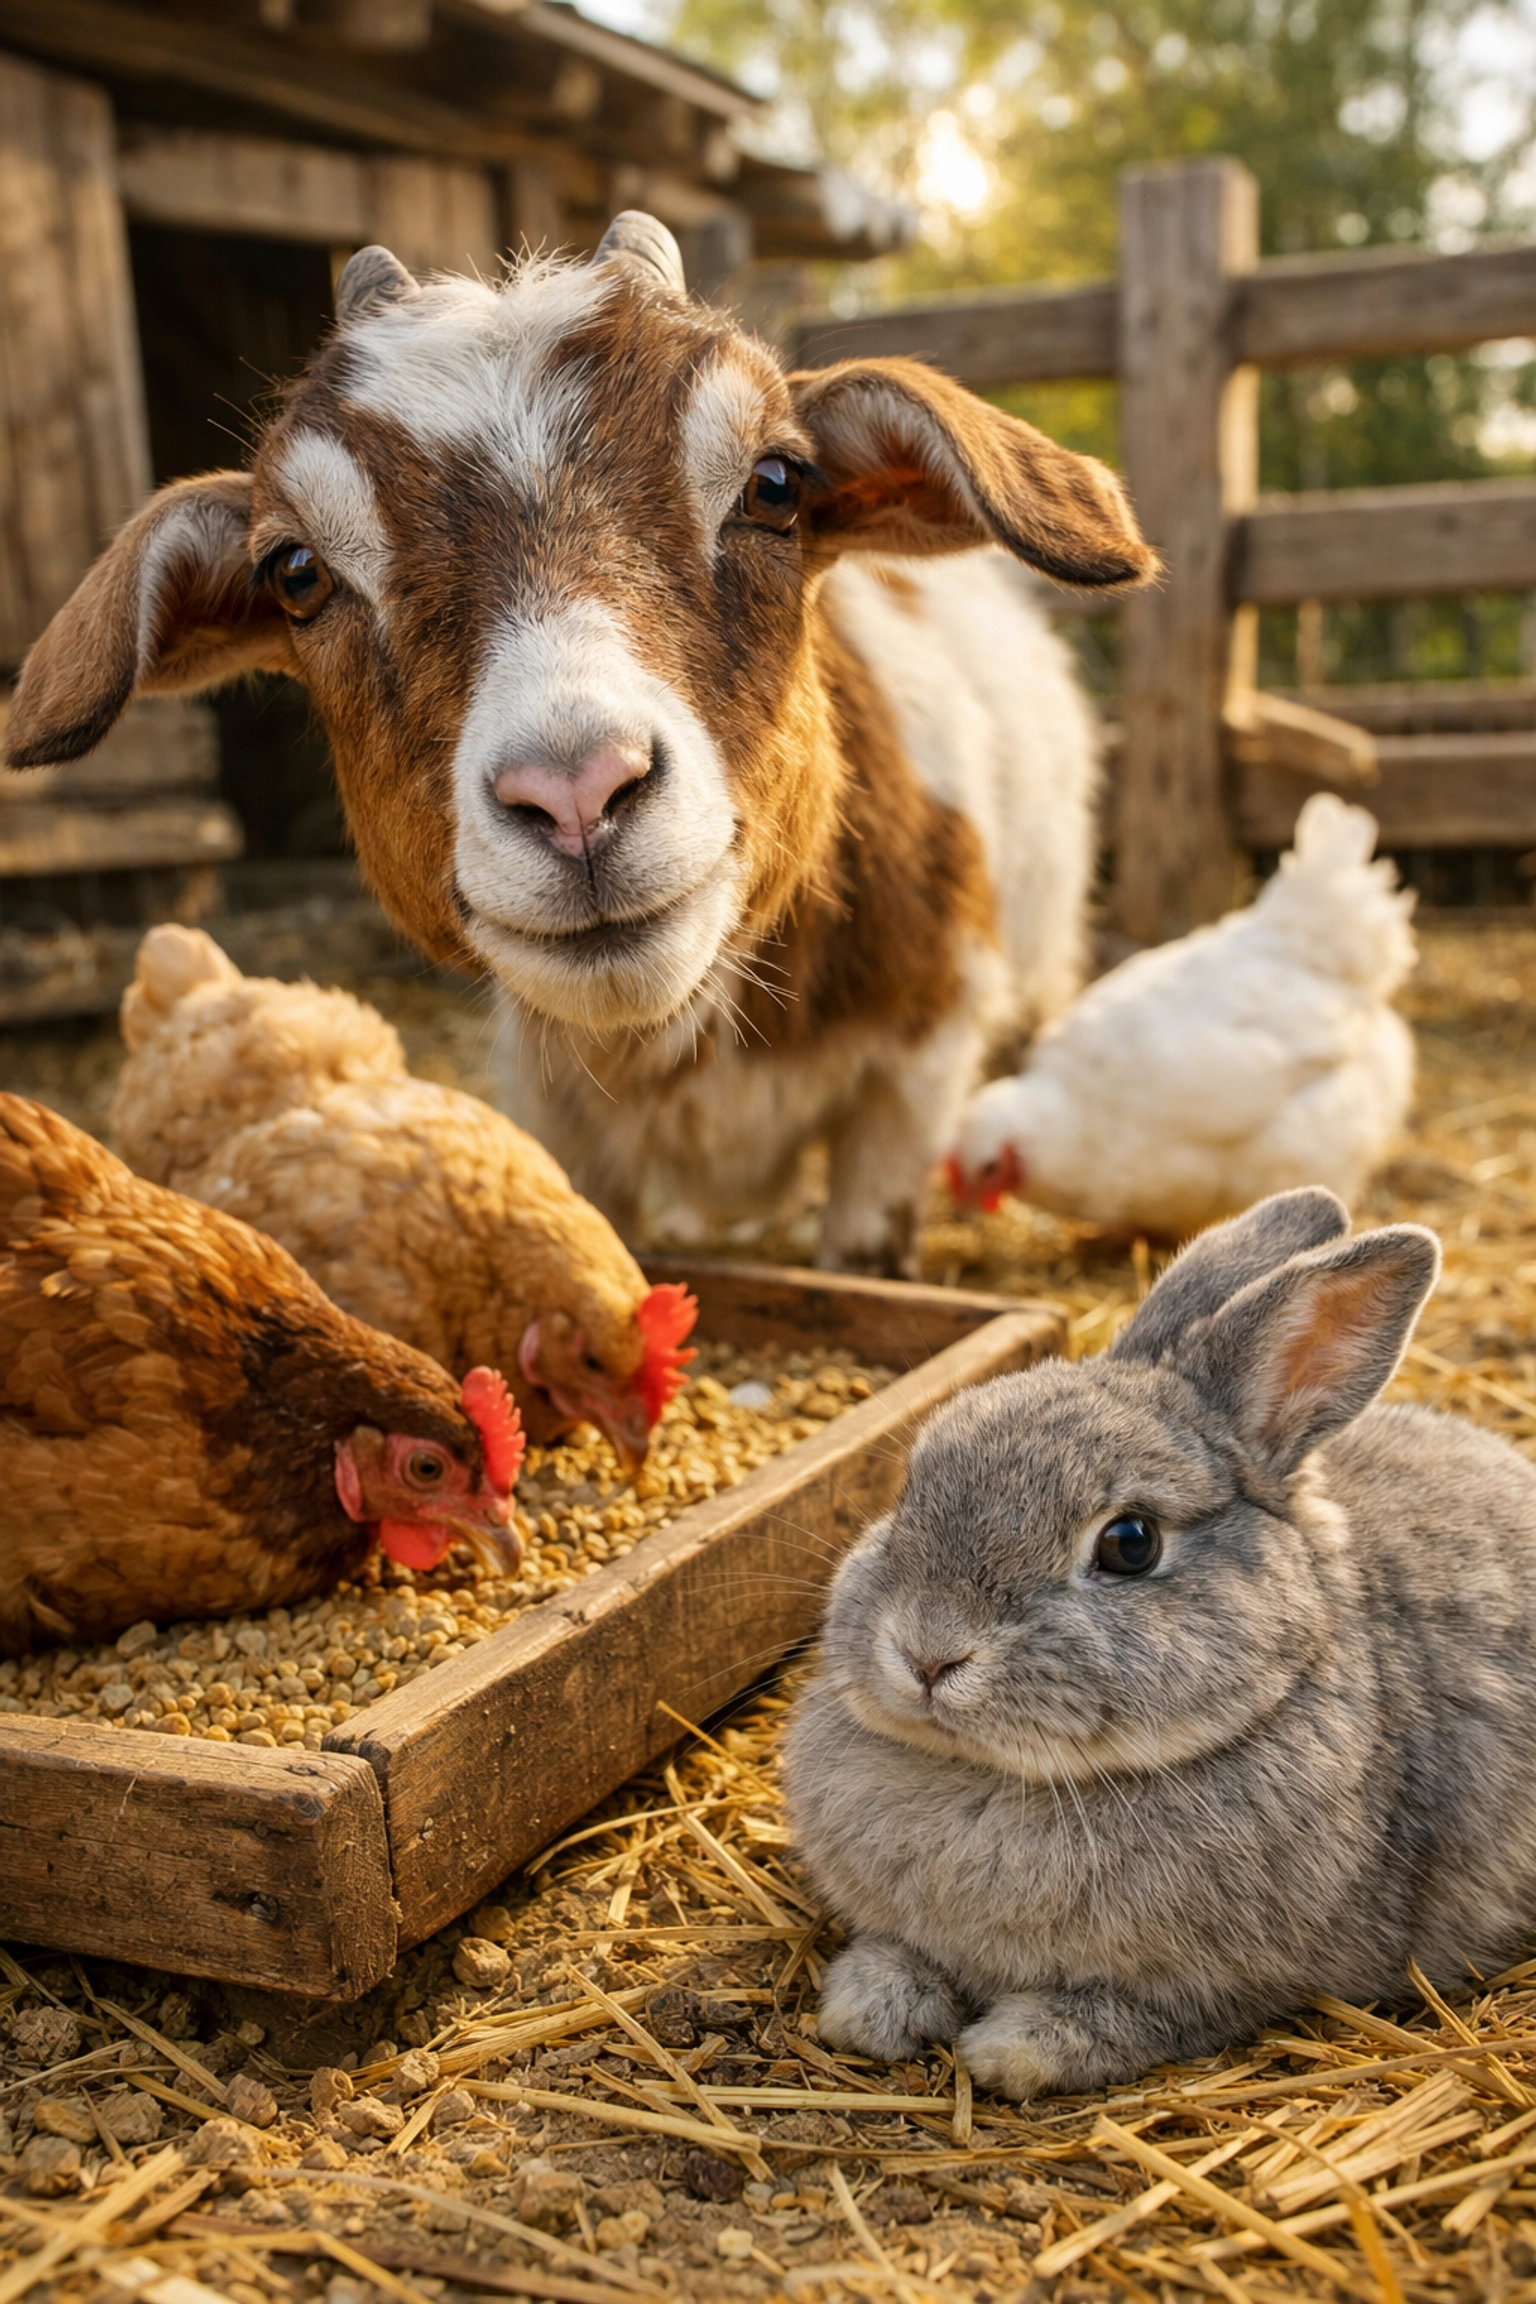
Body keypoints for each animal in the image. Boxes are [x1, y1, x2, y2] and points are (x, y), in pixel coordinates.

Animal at [784, 1186, 1536, 2099]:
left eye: (1131, 1543)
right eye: (909, 1491)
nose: (929, 1654)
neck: (996, 1778)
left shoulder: (1235, 1983)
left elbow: (1147, 2017)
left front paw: (1016, 2049)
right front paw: (868, 2007)